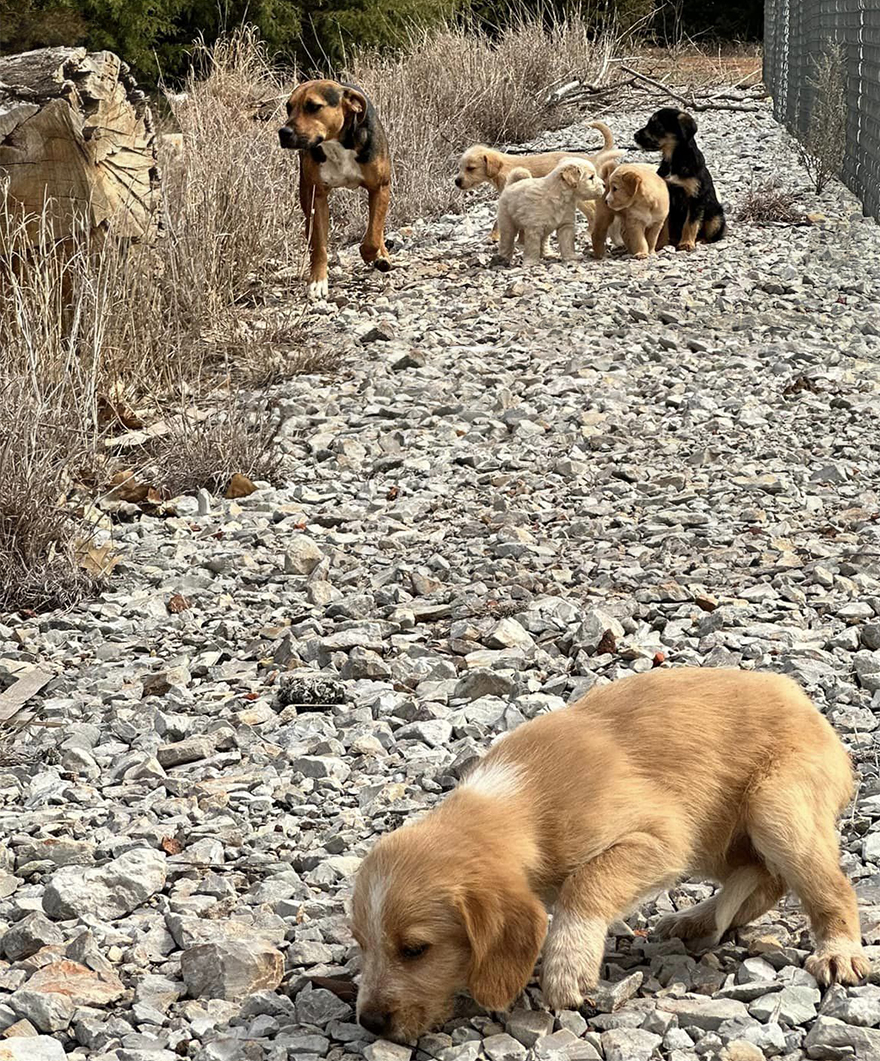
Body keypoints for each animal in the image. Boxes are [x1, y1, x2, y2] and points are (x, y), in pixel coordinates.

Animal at [280, 80, 390, 299]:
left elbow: (373, 235)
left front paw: (372, 254)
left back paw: (382, 256)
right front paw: (317, 281)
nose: (284, 132)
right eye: (288, 107)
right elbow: (319, 245)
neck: (336, 144)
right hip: (306, 194)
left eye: (314, 106)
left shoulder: (380, 187)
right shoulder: (317, 197)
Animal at [350, 666, 866, 1039]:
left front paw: (567, 965)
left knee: (829, 887)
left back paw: (838, 951)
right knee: (764, 878)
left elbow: (586, 881)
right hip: (718, 834)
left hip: (773, 806)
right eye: (361, 944)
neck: (518, 801)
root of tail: (807, 704)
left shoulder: (663, 837)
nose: (369, 1023)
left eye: (415, 950)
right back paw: (696, 919)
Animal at [456, 121, 619, 239]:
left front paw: (494, 237)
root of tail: (591, 158)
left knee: (592, 212)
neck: (503, 169)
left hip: (582, 198)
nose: (456, 182)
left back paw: (588, 233)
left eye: (470, 168)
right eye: (460, 167)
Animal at [636, 108, 726, 252]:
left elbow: (690, 223)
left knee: (712, 235)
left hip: (716, 217)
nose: (635, 136)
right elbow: (664, 226)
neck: (675, 159)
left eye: (657, 127)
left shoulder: (695, 198)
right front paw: (660, 244)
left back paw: (700, 240)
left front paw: (686, 243)